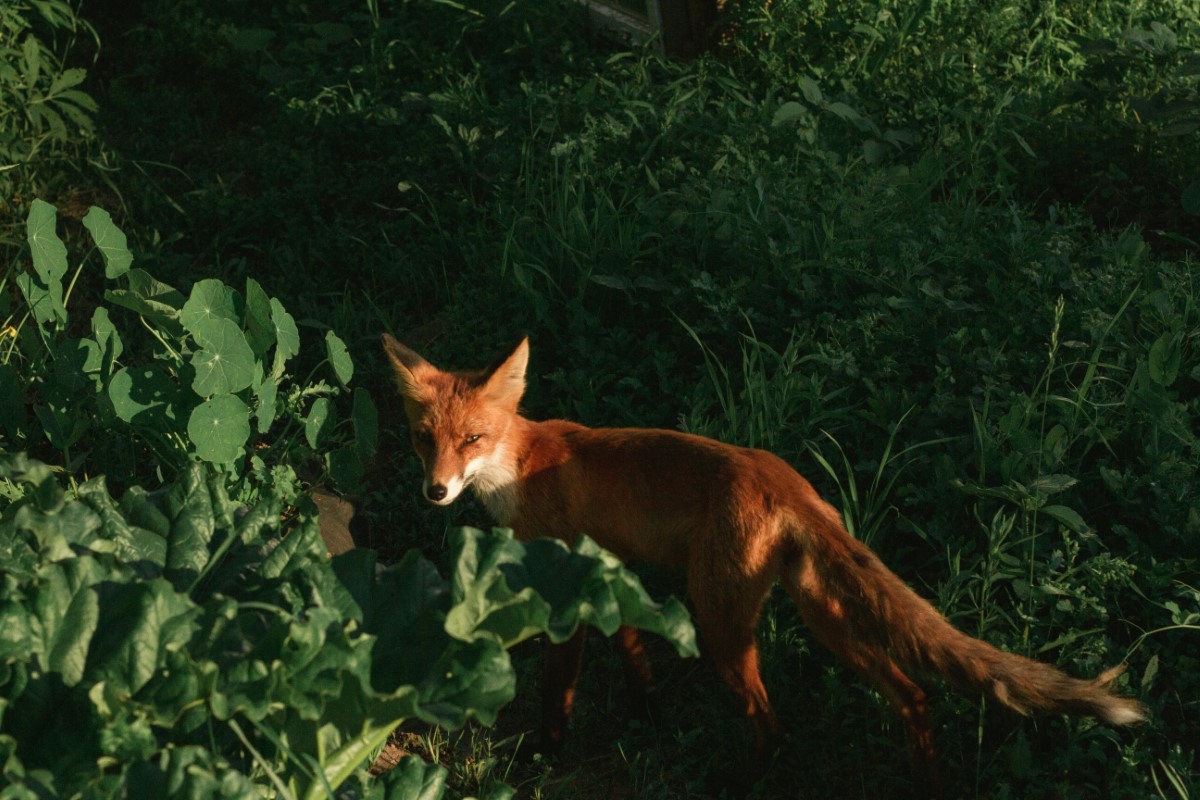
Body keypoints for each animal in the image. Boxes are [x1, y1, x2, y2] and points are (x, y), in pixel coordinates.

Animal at [381, 333, 1142, 796]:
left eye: (472, 439)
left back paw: (742, 780)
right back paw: (927, 784)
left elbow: (556, 691)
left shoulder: (563, 591)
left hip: (720, 625)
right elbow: (632, 650)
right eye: (424, 439)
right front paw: (649, 708)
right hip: (823, 617)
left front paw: (545, 752)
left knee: (773, 724)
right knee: (914, 694)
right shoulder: (607, 573)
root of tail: (783, 479)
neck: (518, 468)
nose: (436, 492)